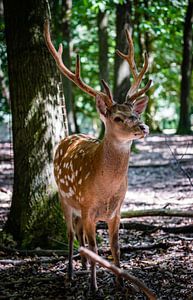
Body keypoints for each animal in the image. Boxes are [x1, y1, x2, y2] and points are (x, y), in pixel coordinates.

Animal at [44, 20, 152, 290]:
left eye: (135, 113)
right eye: (118, 118)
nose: (143, 127)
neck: (104, 191)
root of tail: (70, 136)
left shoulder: (117, 211)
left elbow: (115, 249)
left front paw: (121, 284)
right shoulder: (87, 207)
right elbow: (95, 249)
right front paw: (94, 287)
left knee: (80, 236)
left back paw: (82, 266)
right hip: (64, 197)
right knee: (71, 234)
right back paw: (71, 273)